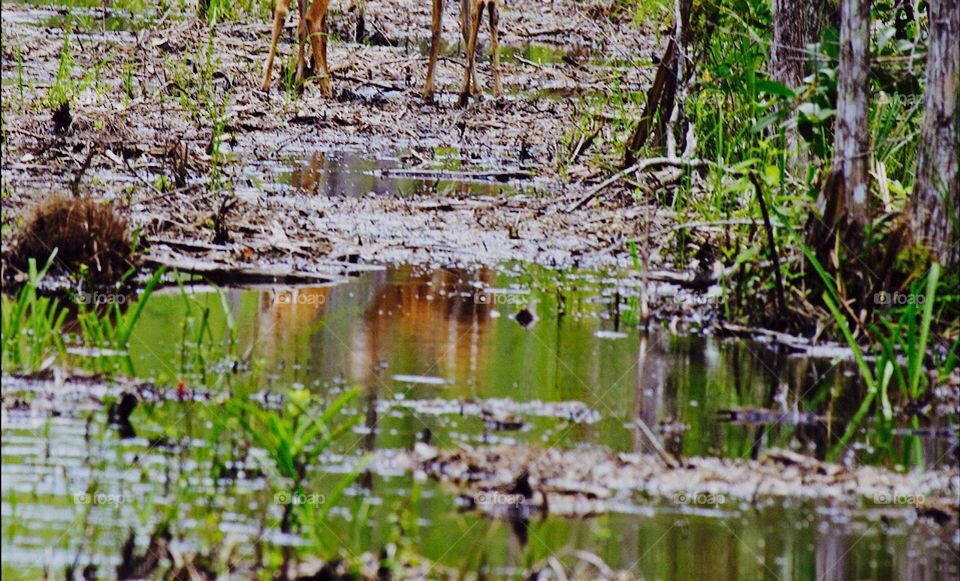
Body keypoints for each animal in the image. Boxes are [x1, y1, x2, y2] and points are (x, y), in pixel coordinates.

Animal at [261, 0, 502, 106]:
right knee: (311, 18)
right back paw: (324, 87)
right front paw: (432, 91)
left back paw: (285, 82)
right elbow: (438, 29)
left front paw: (475, 90)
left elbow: (464, 25)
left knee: (293, 14)